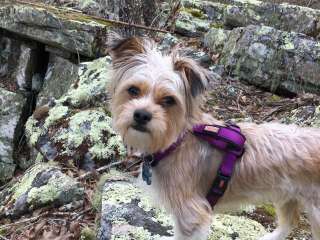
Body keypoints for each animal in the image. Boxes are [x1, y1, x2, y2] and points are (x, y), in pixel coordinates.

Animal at [108, 36, 320, 240]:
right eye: (133, 90)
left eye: (169, 100)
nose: (141, 115)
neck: (176, 142)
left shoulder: (191, 213)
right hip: (287, 195)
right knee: (289, 223)